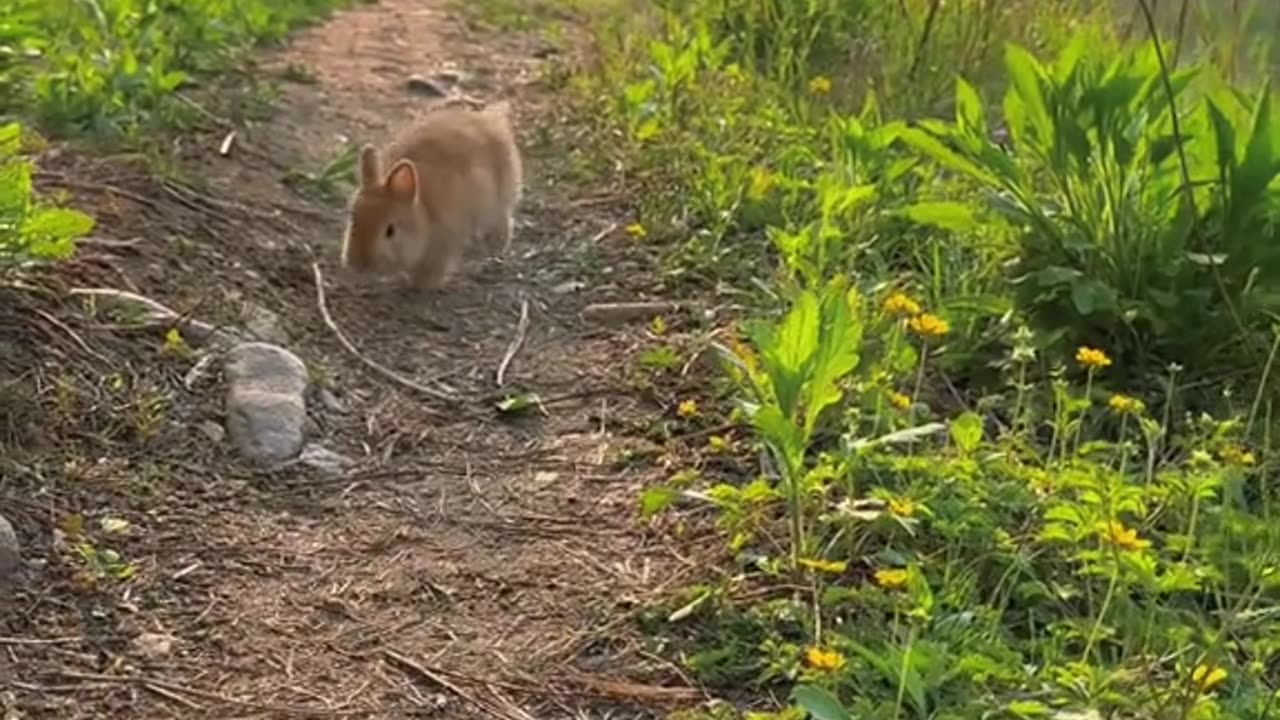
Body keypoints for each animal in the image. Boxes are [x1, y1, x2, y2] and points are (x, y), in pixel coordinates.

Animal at [343, 101, 522, 292]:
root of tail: (493, 122)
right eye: (353, 218)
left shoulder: (445, 243)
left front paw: (420, 286)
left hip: (497, 205)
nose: (359, 264)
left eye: (390, 231)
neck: (423, 212)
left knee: (503, 226)